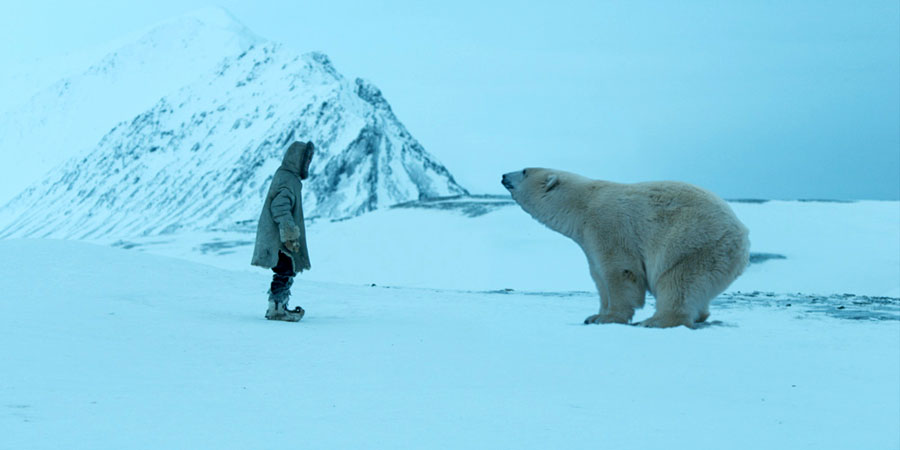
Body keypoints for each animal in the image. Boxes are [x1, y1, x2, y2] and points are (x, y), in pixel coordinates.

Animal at [502, 168, 748, 326]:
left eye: (524, 171)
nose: (503, 175)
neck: (581, 204)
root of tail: (743, 237)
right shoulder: (587, 239)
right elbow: (598, 275)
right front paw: (594, 316)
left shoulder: (607, 224)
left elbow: (620, 270)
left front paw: (609, 318)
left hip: (694, 244)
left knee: (678, 281)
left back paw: (656, 320)